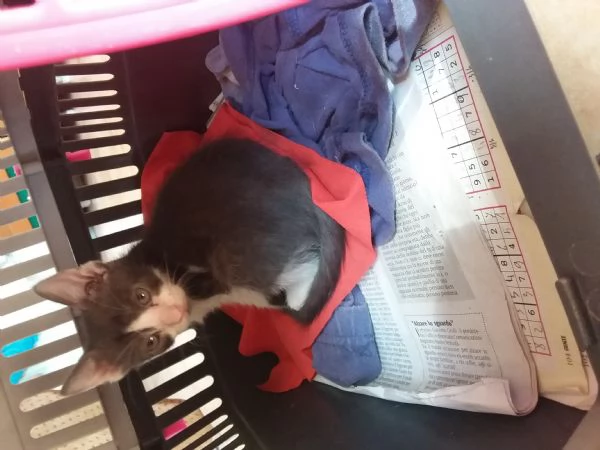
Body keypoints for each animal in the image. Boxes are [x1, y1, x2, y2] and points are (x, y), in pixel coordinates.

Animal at [34, 138, 346, 395]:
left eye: (141, 295)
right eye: (150, 342)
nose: (176, 312)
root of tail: (306, 194)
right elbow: (258, 297)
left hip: (235, 251)